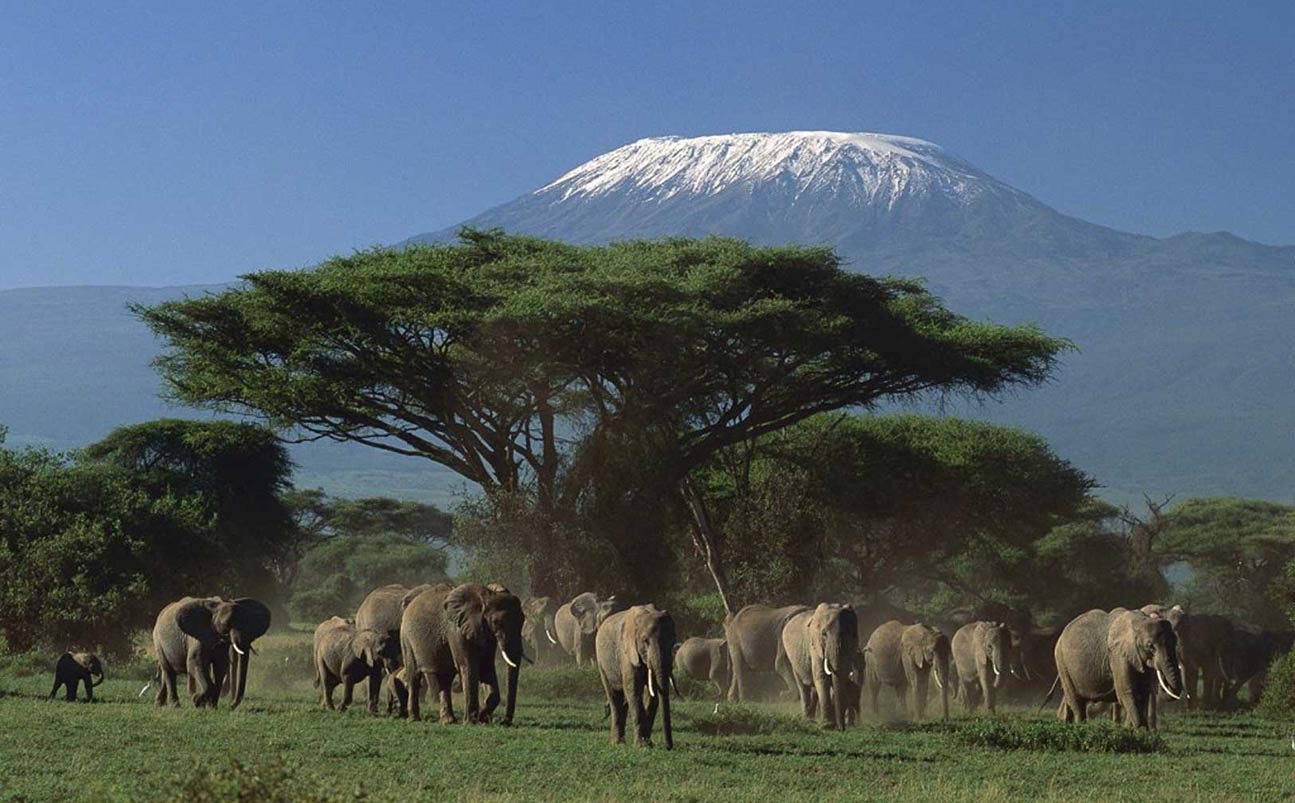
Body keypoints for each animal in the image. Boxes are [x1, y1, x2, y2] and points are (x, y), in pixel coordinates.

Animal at [404, 580, 525, 725]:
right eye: (497, 622)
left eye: (523, 620)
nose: (504, 722)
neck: (485, 597)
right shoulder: (456, 630)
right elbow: (468, 666)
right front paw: (472, 722)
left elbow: (487, 667)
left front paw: (483, 718)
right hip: (407, 638)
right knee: (414, 676)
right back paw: (414, 719)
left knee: (445, 678)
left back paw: (448, 721)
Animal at [595, 606, 678, 751]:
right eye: (645, 641)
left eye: (673, 641)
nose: (669, 747)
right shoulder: (627, 653)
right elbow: (634, 689)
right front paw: (642, 746)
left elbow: (652, 693)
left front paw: (648, 743)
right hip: (601, 662)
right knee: (614, 696)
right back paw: (617, 743)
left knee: (623, 701)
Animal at [1051, 608, 1186, 725]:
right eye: (1150, 646)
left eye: (1175, 642)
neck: (1141, 621)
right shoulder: (1118, 654)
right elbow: (1126, 691)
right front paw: (1140, 729)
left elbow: (1142, 692)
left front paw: (1138, 731)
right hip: (1061, 661)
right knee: (1076, 700)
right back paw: (1080, 726)